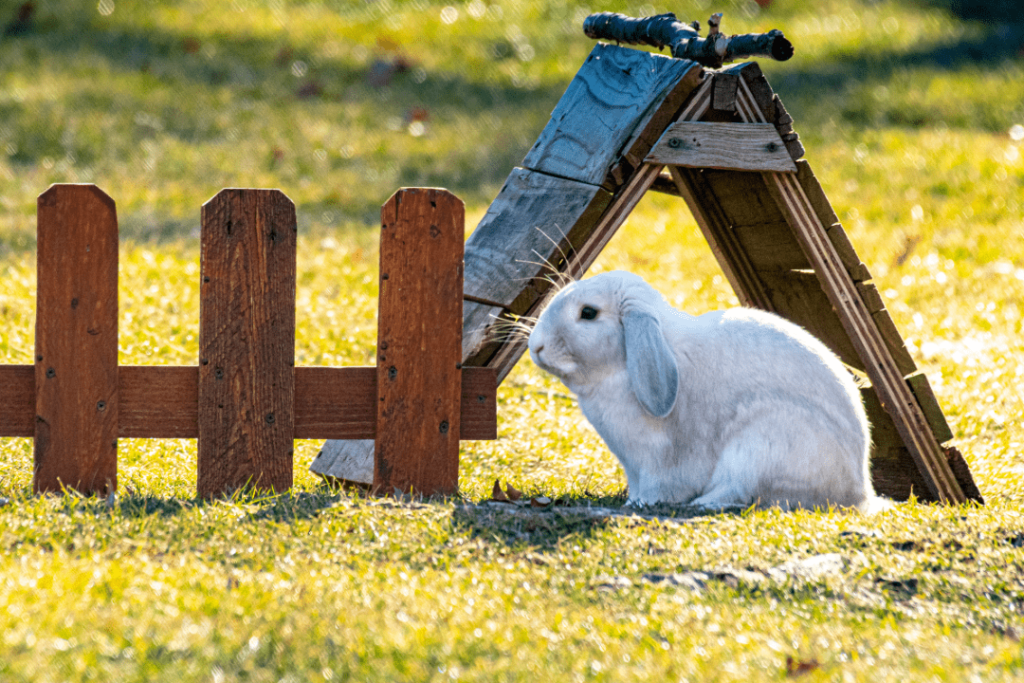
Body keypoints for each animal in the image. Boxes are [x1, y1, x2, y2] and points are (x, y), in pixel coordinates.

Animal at [528, 270, 880, 509]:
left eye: (588, 313)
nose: (536, 346)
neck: (623, 366)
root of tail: (859, 491)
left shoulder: (657, 463)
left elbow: (660, 487)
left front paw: (641, 505)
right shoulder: (635, 468)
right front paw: (632, 501)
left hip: (760, 444)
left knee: (741, 491)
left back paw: (702, 503)